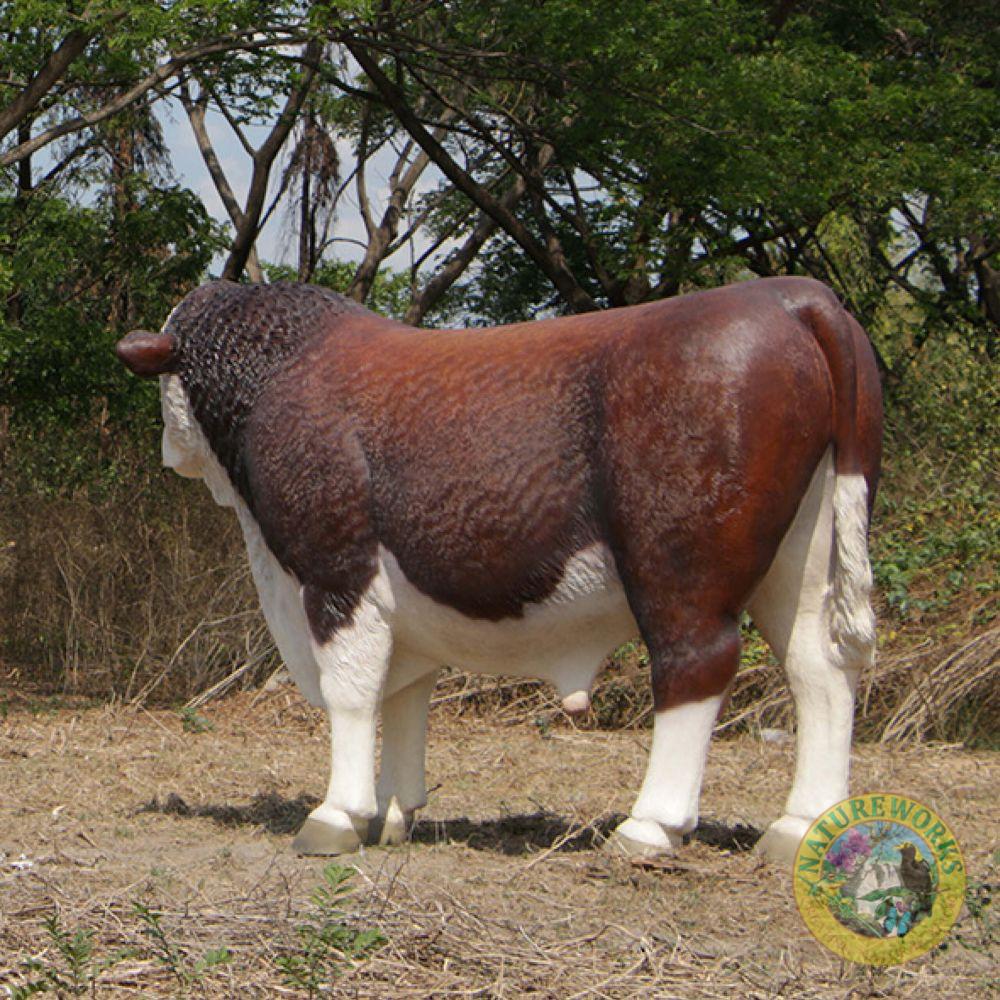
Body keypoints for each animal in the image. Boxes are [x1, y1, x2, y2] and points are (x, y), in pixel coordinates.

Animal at [116, 276, 882, 864]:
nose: (167, 451)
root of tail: (788, 295)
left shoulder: (337, 570)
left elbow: (353, 692)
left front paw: (338, 816)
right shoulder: (399, 602)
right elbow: (406, 695)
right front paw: (394, 814)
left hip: (680, 568)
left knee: (696, 662)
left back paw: (649, 827)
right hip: (798, 557)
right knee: (819, 668)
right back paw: (804, 827)